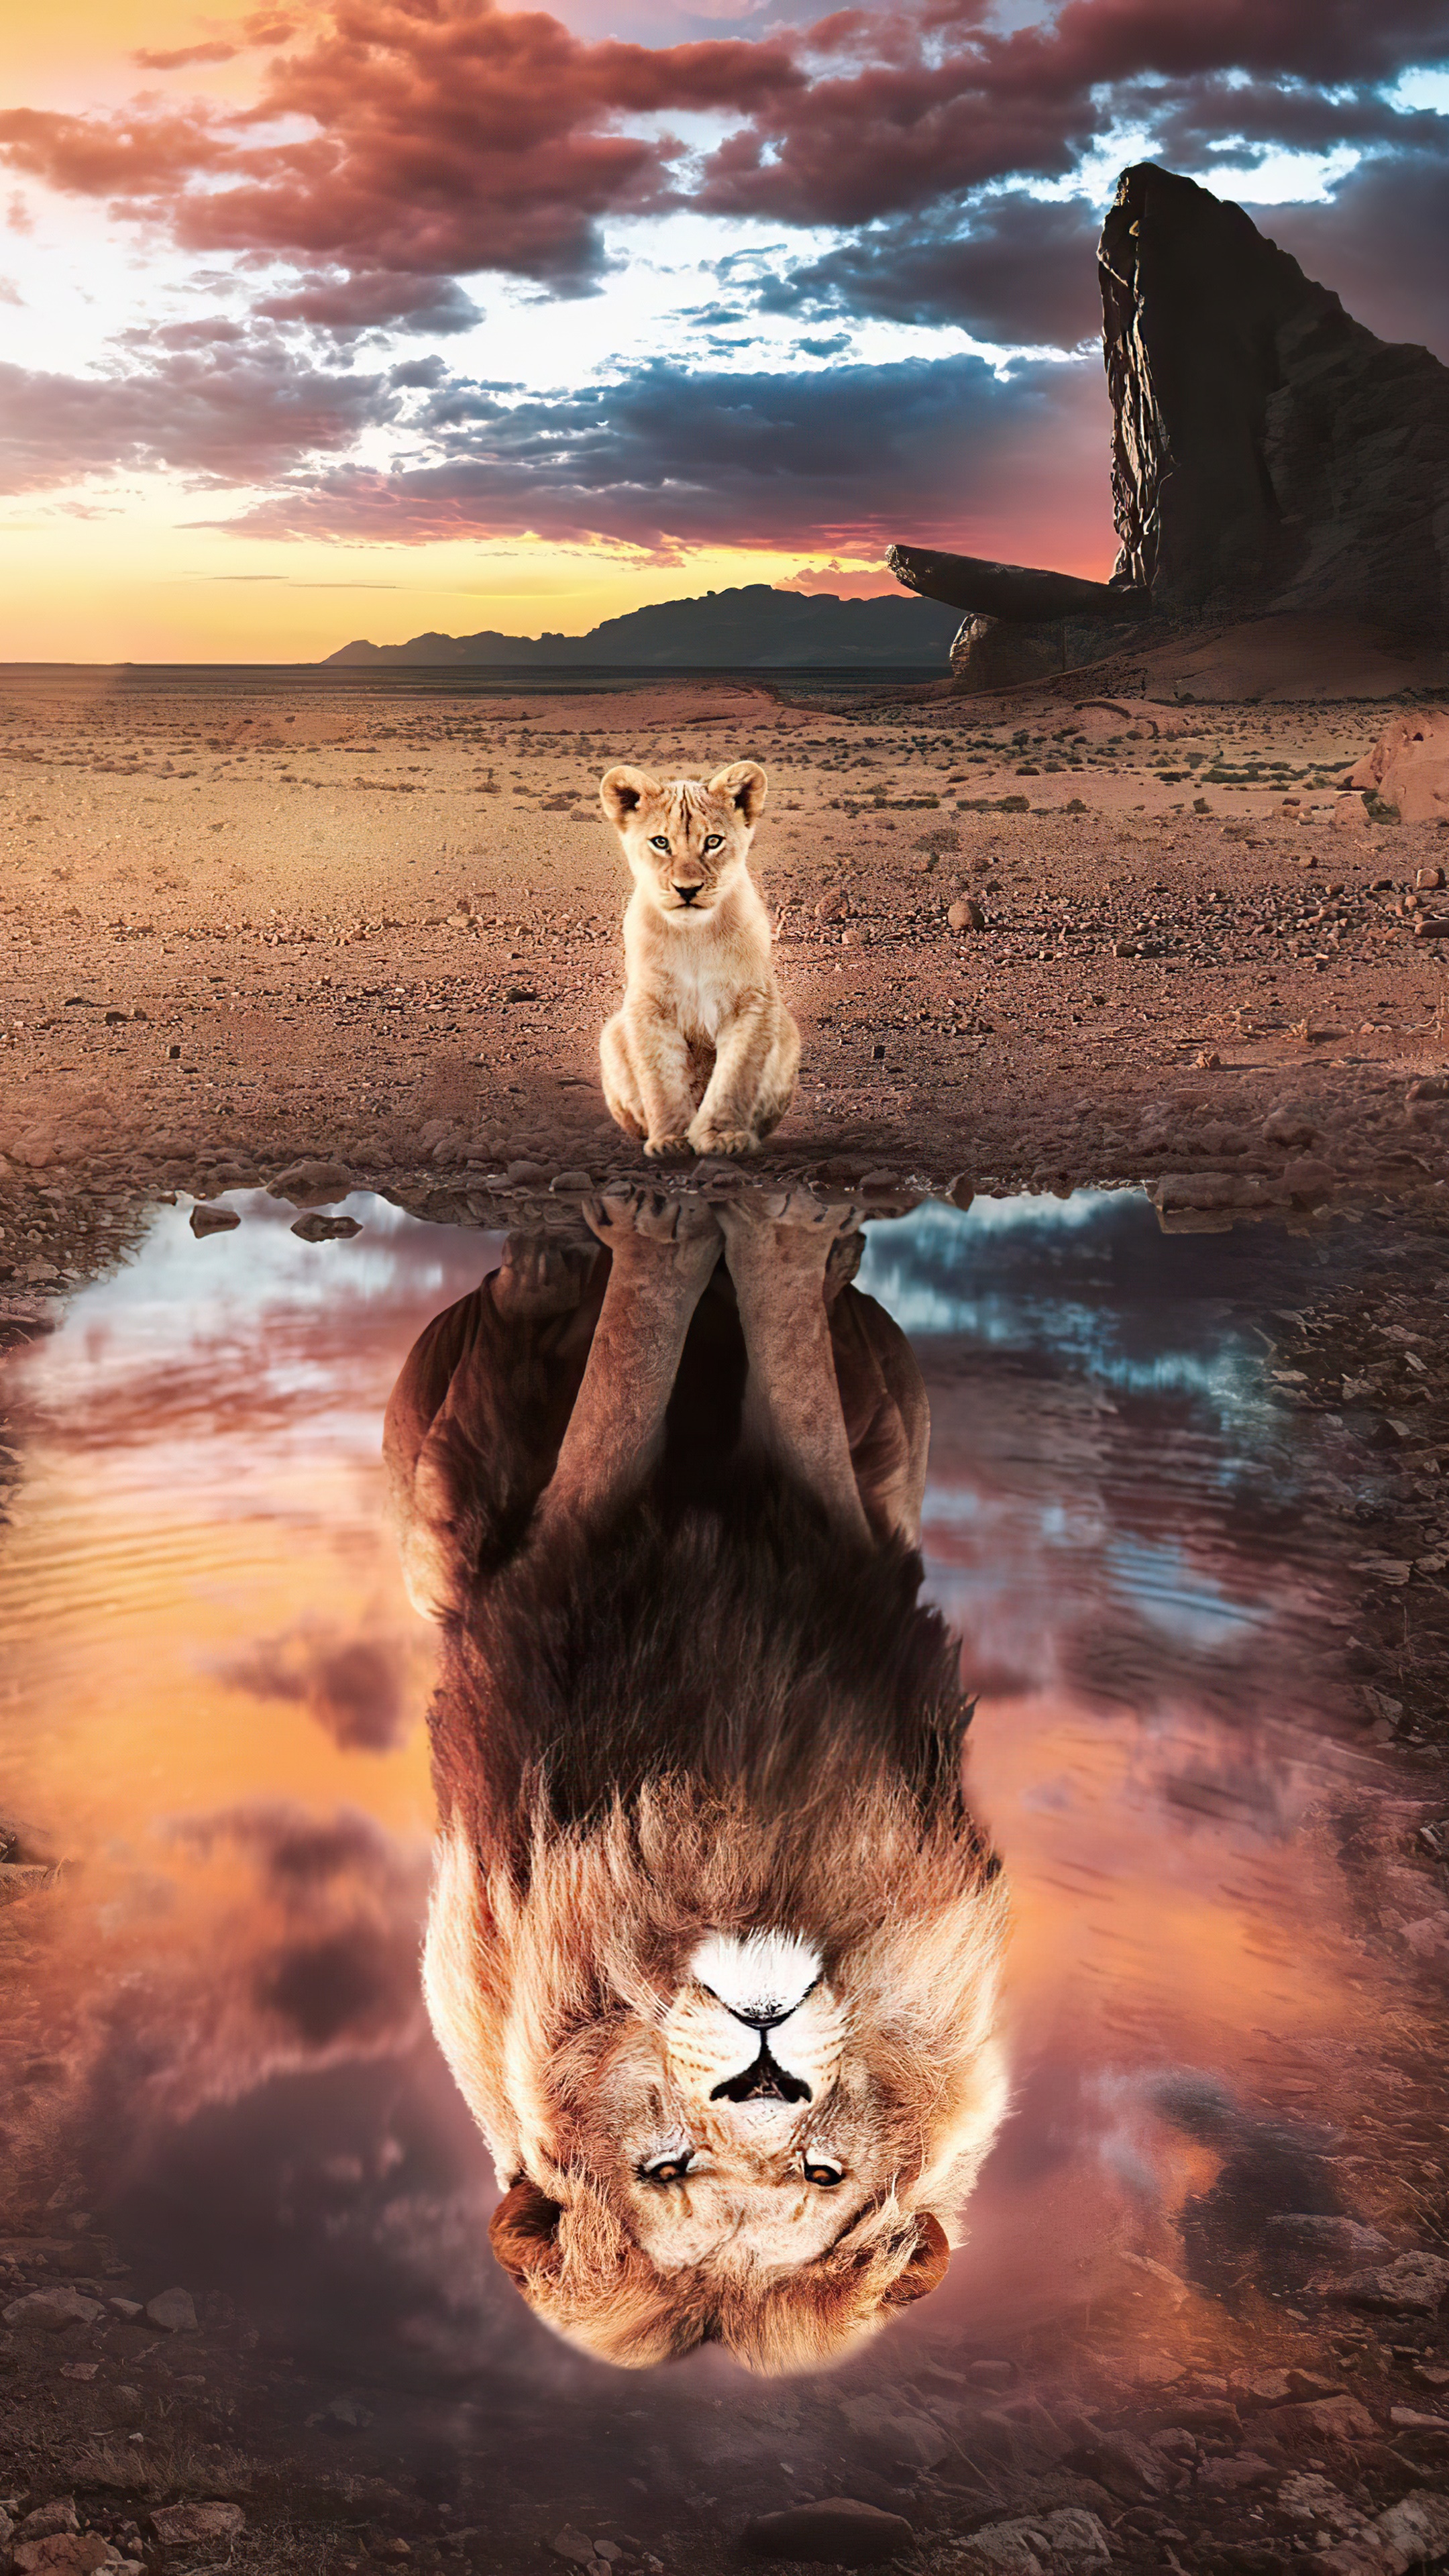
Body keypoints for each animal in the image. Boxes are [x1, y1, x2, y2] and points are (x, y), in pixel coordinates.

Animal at [384, 1187, 1008, 2372]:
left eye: (820, 2171)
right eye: (665, 2169)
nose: (765, 2067)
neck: (727, 1845)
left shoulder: (846, 1533)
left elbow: (781, 1374)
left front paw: (770, 1235)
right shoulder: (563, 1543)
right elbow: (632, 1367)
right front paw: (673, 1231)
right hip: (425, 1499)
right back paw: (545, 1268)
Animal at [597, 761, 800, 1158]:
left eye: (713, 842)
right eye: (661, 842)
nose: (687, 890)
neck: (693, 937)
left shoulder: (752, 1002)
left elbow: (735, 1076)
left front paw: (723, 1136)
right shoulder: (649, 1005)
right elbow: (660, 1079)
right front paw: (671, 1139)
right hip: (611, 1034)